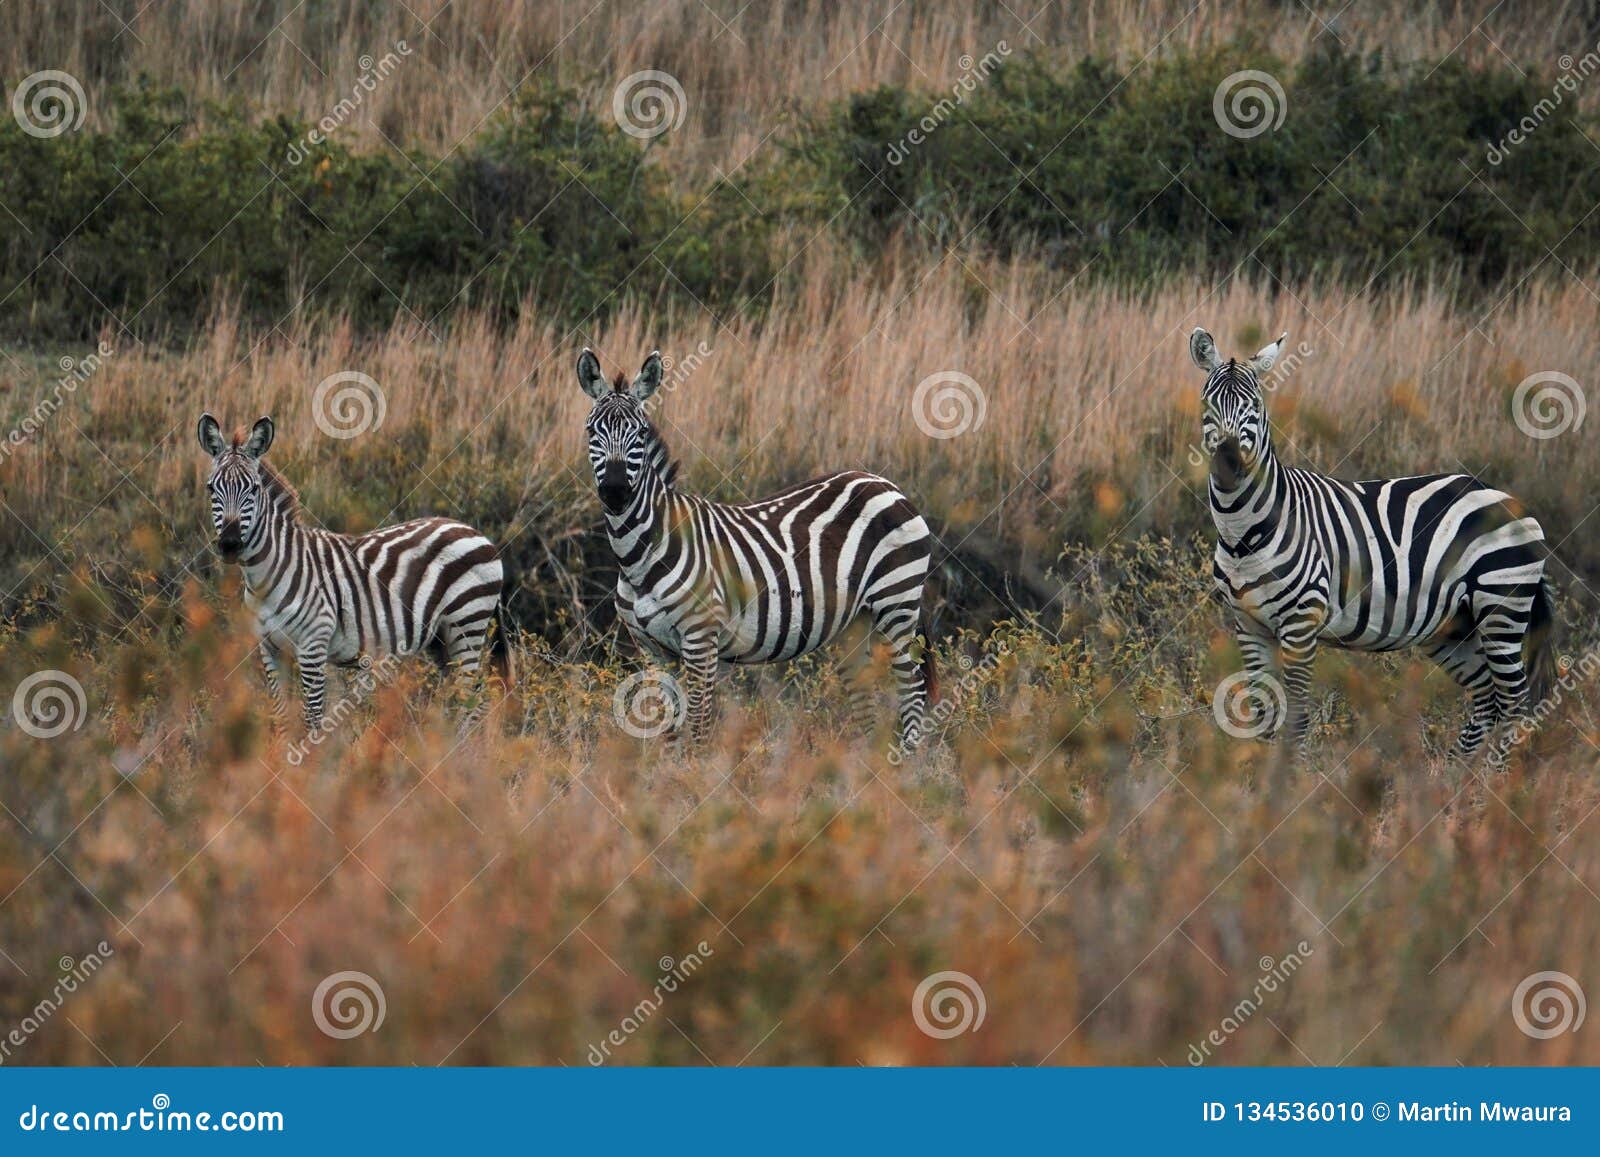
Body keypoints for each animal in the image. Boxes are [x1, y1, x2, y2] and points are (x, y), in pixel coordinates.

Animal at [196, 412, 505, 729]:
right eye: (211, 488)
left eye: (254, 489)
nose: (230, 544)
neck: (264, 581)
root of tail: (471, 530)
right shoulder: (269, 649)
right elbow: (281, 716)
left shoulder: (313, 647)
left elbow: (314, 719)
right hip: (441, 638)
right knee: (474, 697)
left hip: (466, 624)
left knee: (469, 699)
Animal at [579, 344, 934, 745]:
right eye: (592, 430)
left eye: (639, 433)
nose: (615, 492)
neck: (639, 559)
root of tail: (883, 483)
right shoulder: (651, 648)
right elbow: (667, 726)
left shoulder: (701, 639)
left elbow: (698, 725)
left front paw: (697, 764)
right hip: (853, 622)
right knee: (865, 698)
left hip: (897, 600)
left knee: (912, 687)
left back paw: (906, 758)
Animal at [1190, 326, 1548, 761]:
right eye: (1208, 404)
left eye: (1255, 406)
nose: (1228, 462)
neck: (1244, 535)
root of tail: (1506, 498)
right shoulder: (1248, 625)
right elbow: (1263, 713)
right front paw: (1255, 776)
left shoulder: (1301, 622)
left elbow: (1297, 716)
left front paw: (1293, 777)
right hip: (1454, 627)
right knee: (1487, 698)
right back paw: (1458, 774)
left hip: (1501, 605)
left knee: (1514, 703)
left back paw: (1497, 777)